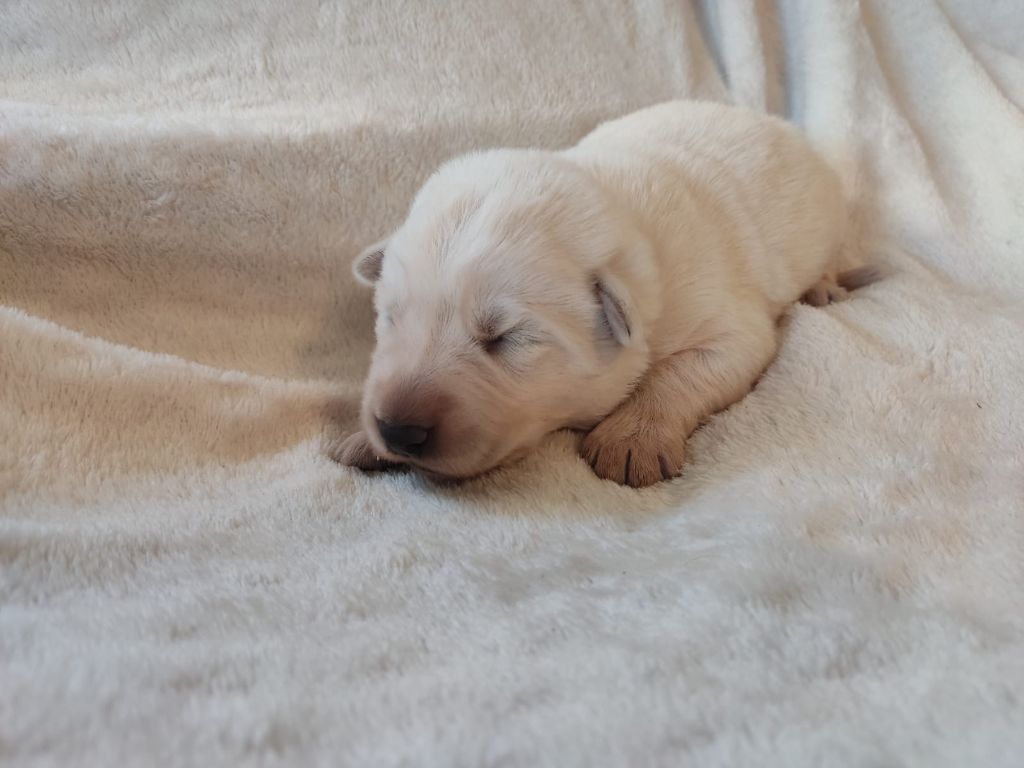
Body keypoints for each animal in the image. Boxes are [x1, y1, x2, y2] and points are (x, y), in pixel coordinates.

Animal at [331, 100, 868, 487]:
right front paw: (361, 439)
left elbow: (683, 371)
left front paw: (632, 440)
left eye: (507, 339)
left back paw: (823, 288)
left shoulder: (728, 324)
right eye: (391, 319)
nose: (397, 430)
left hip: (830, 223)